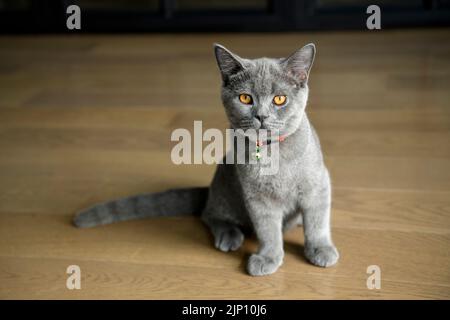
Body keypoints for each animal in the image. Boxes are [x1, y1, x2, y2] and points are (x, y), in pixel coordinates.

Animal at [74, 43, 340, 276]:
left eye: (279, 99)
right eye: (245, 99)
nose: (262, 116)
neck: (272, 154)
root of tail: (209, 189)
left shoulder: (318, 185)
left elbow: (317, 222)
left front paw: (321, 250)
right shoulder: (257, 198)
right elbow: (268, 230)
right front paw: (267, 257)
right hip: (226, 189)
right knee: (208, 213)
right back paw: (229, 236)